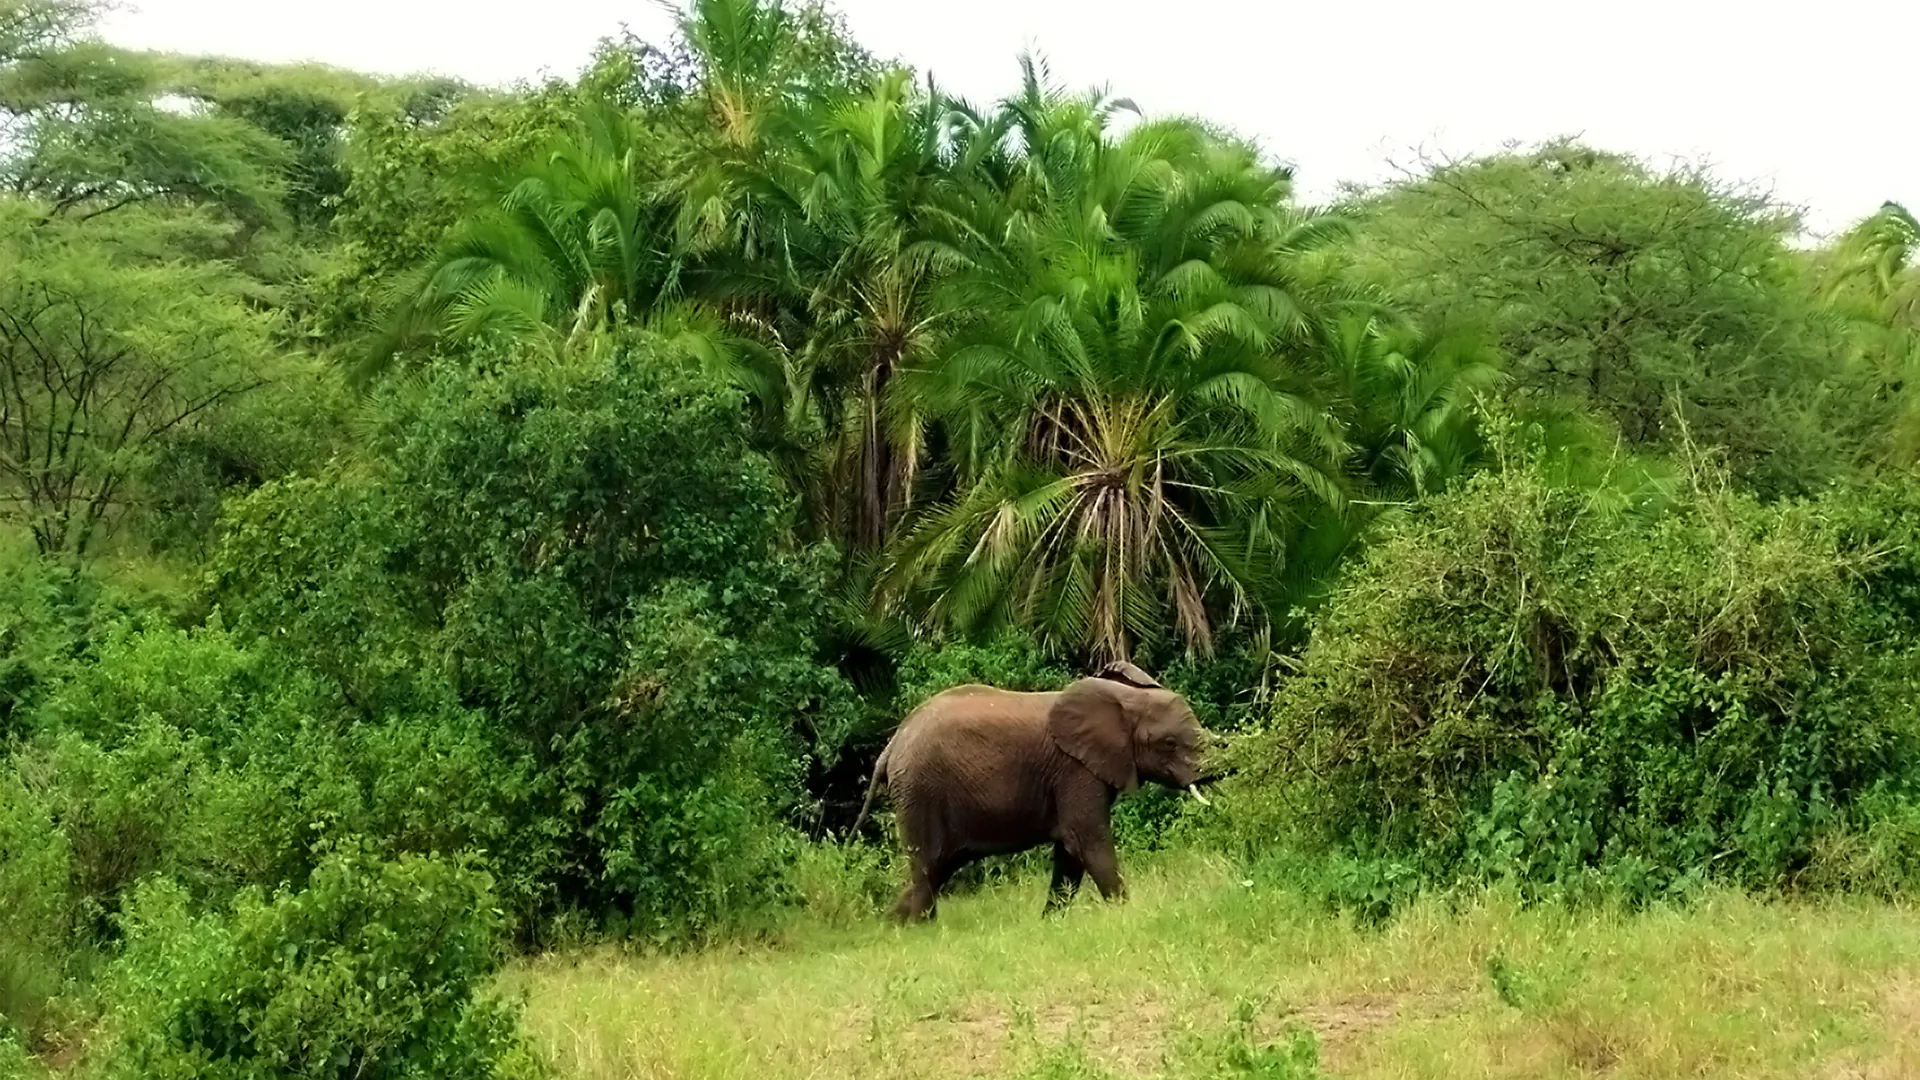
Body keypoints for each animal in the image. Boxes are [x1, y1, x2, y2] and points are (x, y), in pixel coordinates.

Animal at [847, 661, 1217, 921]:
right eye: (1169, 744)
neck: (1125, 701)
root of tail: (892, 744)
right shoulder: (1075, 770)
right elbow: (1086, 841)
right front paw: (1126, 913)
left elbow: (1070, 853)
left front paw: (1050, 922)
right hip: (921, 791)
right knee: (927, 868)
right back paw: (922, 926)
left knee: (936, 869)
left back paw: (893, 924)